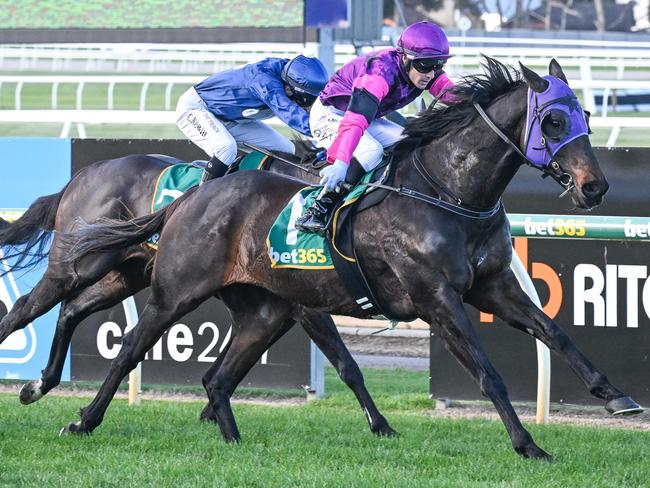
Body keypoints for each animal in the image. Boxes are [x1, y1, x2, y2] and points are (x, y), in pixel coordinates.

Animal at [0, 146, 394, 434]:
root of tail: (82, 175)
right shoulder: (306, 306)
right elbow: (346, 364)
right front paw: (379, 425)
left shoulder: (278, 307)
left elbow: (233, 359)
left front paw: (211, 411)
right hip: (78, 264)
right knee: (25, 307)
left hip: (125, 274)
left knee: (71, 309)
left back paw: (40, 384)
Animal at [58, 59, 640, 460]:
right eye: (554, 120)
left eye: (588, 115)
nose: (595, 187)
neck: (447, 192)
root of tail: (193, 197)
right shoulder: (435, 299)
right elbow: (486, 372)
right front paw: (527, 445)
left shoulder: (492, 285)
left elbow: (555, 332)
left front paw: (617, 397)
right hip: (175, 291)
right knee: (129, 347)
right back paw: (81, 420)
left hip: (264, 310)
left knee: (218, 378)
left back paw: (233, 441)